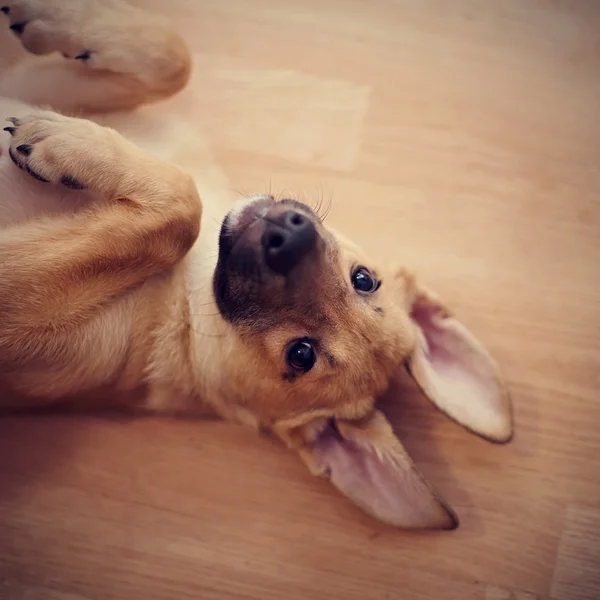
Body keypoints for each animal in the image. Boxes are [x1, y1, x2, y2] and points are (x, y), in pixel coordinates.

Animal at [0, 0, 510, 528]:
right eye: (364, 280)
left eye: (301, 355)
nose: (286, 236)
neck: (190, 307)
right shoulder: (44, 86)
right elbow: (173, 57)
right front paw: (54, 20)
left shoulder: (15, 296)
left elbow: (181, 204)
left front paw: (64, 145)